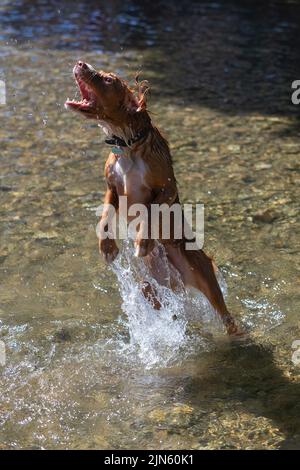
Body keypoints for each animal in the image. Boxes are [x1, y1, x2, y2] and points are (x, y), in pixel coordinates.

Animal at [65, 61, 241, 334]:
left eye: (107, 79)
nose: (81, 63)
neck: (128, 146)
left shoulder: (166, 189)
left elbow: (149, 212)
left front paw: (142, 242)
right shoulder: (111, 188)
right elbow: (105, 215)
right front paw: (107, 247)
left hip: (205, 278)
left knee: (226, 317)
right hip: (149, 287)